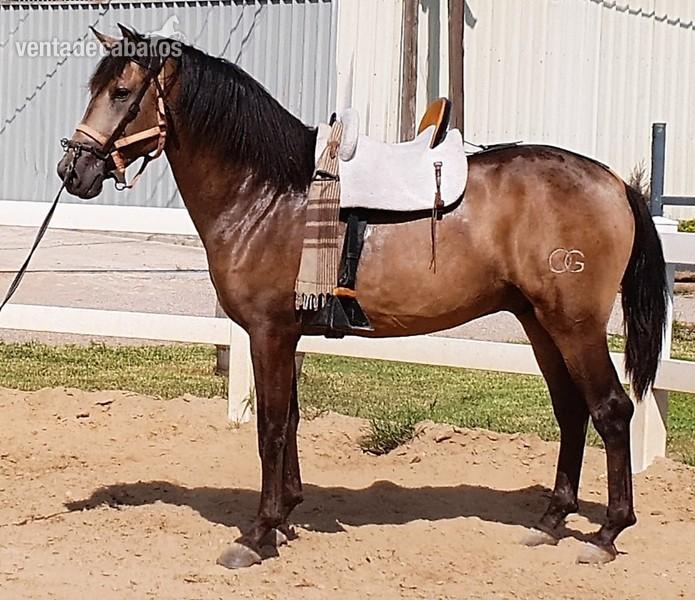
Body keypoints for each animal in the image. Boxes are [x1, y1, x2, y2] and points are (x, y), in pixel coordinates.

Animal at [57, 26, 667, 569]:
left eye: (121, 92)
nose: (72, 169)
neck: (269, 193)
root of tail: (615, 182)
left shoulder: (268, 333)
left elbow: (270, 428)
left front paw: (258, 534)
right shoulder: (286, 336)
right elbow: (292, 420)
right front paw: (287, 515)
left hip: (575, 325)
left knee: (611, 411)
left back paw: (607, 534)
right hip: (540, 323)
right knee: (571, 411)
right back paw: (551, 520)